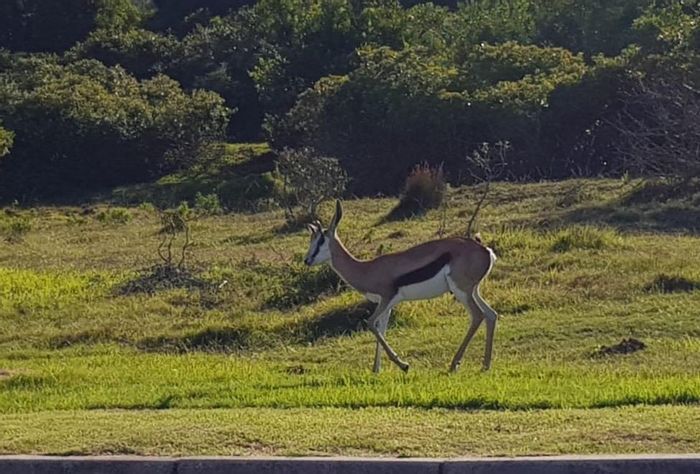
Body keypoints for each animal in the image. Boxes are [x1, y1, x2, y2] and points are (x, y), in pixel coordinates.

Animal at [304, 200, 498, 374]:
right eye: (312, 239)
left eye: (321, 240)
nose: (307, 260)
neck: (366, 269)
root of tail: (486, 251)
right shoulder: (386, 304)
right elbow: (381, 329)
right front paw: (376, 369)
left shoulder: (386, 298)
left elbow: (370, 323)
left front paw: (403, 365)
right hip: (472, 291)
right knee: (491, 314)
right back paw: (485, 365)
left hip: (461, 291)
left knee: (478, 315)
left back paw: (454, 365)